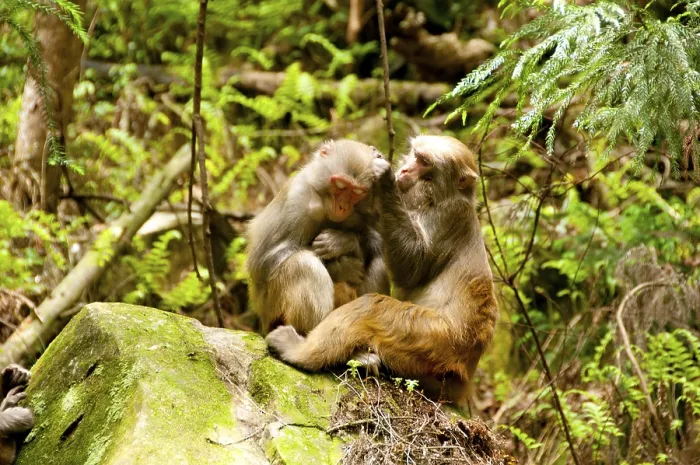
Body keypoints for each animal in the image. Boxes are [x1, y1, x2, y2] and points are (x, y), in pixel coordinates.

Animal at [246, 139, 389, 336]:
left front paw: (342, 241)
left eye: (357, 192)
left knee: (379, 261)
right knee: (303, 264)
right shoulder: (296, 198)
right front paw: (342, 266)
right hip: (272, 311)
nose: (342, 207)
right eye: (341, 186)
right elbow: (261, 263)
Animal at [265, 135, 499, 408]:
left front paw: (384, 179)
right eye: (415, 155)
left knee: (371, 309)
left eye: (424, 162)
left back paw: (300, 352)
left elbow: (413, 267)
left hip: (434, 340)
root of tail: (463, 378)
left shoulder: (450, 216)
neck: (435, 198)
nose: (404, 170)